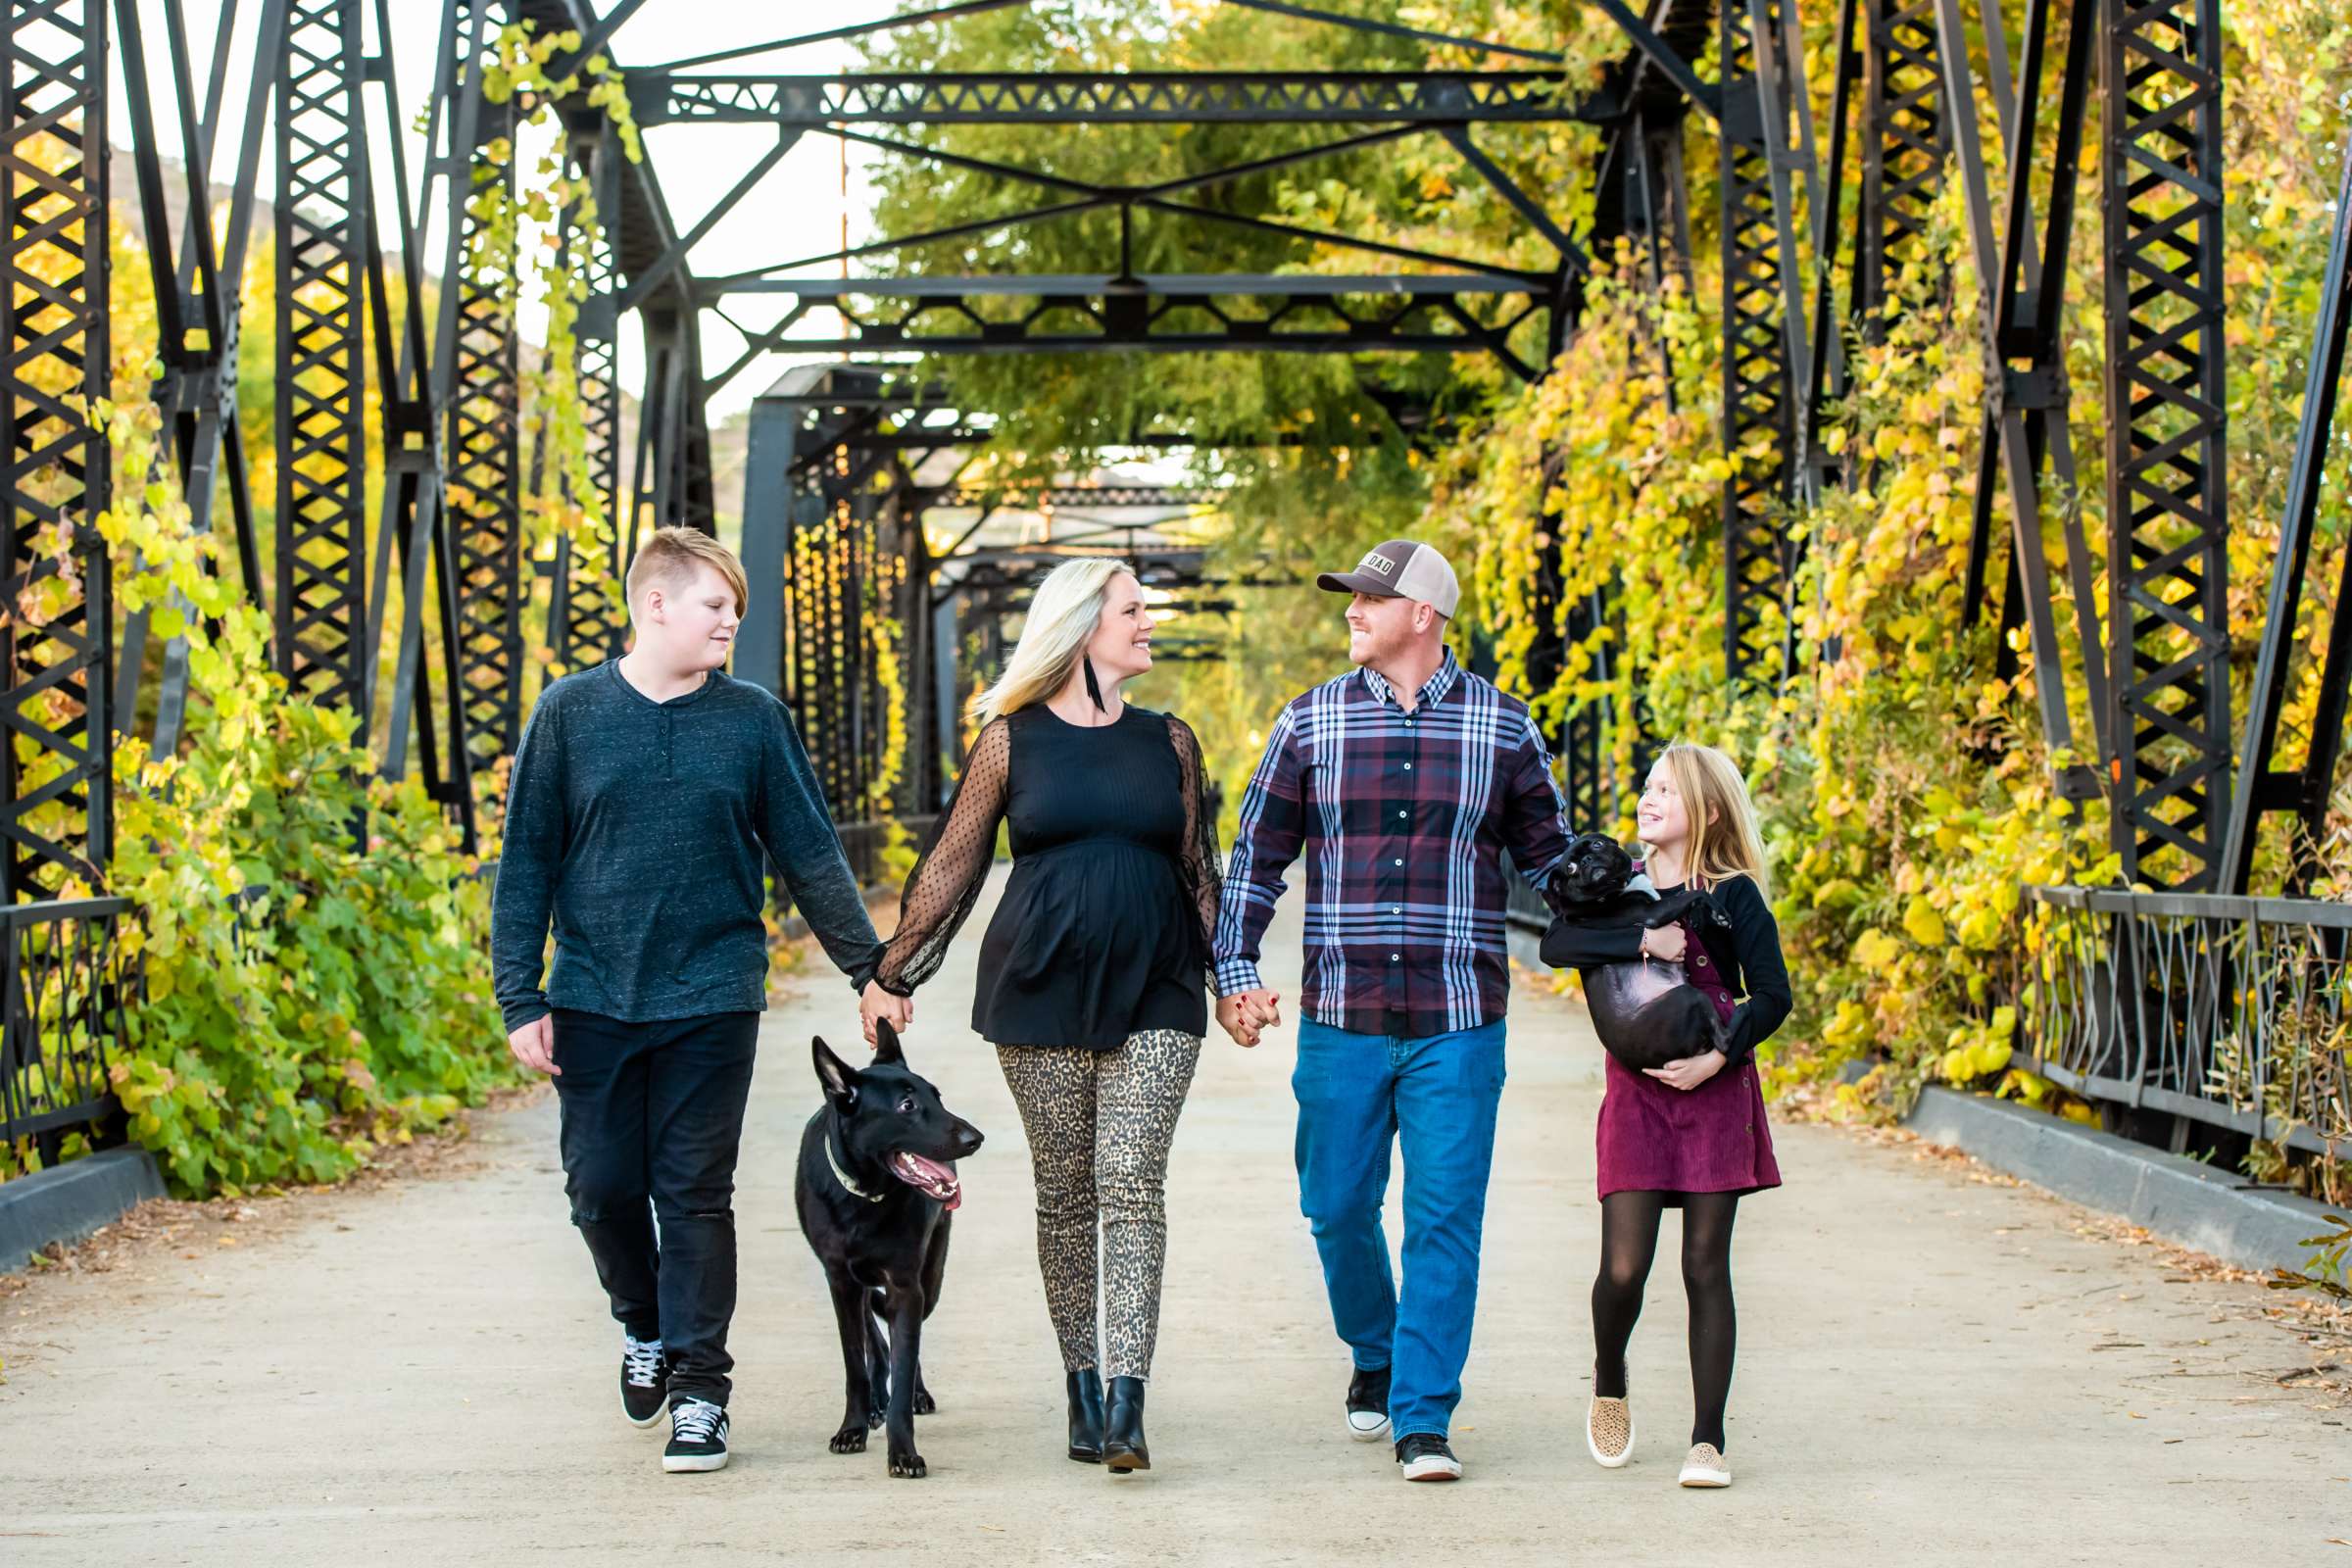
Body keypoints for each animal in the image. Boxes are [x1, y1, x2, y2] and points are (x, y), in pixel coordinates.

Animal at [790, 1024, 973, 1476]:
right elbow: (854, 1361)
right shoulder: (840, 1281)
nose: (975, 1139)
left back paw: (912, 1394)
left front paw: (903, 1449)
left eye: (936, 1096)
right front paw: (853, 1427)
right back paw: (875, 1401)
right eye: (906, 1105)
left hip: (930, 1279)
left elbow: (905, 1363)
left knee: (906, 1334)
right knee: (874, 1336)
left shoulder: (906, 1286)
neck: (866, 1195)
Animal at [1533, 827, 1740, 1071]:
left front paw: (1698, 917)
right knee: (1725, 1042)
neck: (1615, 889)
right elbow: (1694, 894)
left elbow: (1685, 896)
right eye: (1570, 869)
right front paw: (1718, 913)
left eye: (1596, 845)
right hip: (1689, 997)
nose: (1586, 861)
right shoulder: (1652, 913)